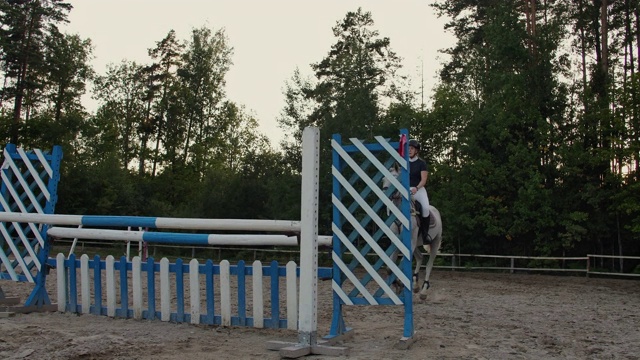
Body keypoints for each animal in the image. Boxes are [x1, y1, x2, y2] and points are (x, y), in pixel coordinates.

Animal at [382, 162, 442, 300]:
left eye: (395, 178)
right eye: (383, 179)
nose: (385, 194)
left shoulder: (411, 241)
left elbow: (402, 263)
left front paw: (400, 284)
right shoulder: (397, 242)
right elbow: (390, 267)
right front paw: (397, 285)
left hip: (435, 242)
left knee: (429, 264)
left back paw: (423, 291)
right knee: (420, 258)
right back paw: (415, 285)